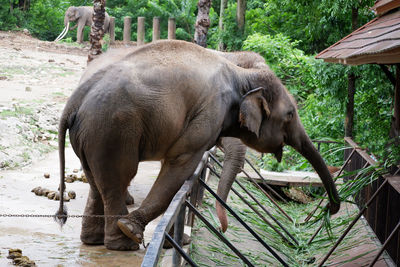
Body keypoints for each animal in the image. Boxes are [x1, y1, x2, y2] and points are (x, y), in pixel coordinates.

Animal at [54, 39, 340, 251]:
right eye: (290, 114)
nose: (330, 209)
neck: (240, 72)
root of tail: (75, 99)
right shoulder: (210, 111)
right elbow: (181, 163)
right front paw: (133, 229)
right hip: (112, 130)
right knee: (119, 175)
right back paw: (124, 243)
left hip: (91, 135)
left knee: (97, 180)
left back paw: (94, 241)